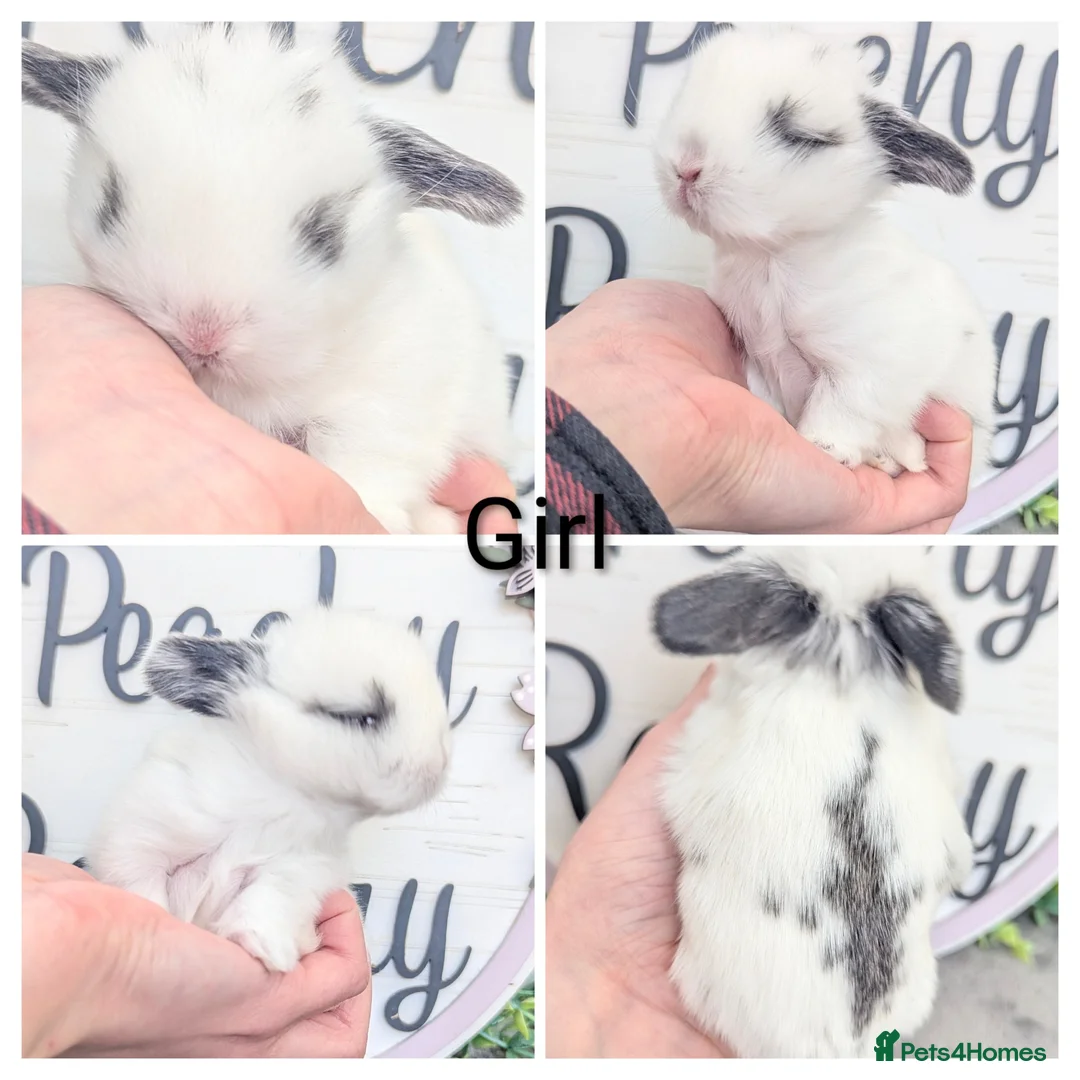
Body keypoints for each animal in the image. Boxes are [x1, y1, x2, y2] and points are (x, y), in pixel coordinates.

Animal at [22, 23, 523, 534]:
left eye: (325, 234)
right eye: (110, 204)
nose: (203, 335)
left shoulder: (387, 405)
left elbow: (369, 463)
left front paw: (381, 515)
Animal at [87, 606, 452, 972]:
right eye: (361, 718)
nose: (438, 768)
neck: (279, 801)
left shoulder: (300, 869)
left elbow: (269, 897)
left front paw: (262, 945)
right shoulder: (141, 837)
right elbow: (142, 887)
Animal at [654, 26, 995, 480]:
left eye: (802, 137)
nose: (686, 167)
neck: (771, 260)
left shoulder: (871, 357)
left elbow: (849, 404)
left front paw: (826, 447)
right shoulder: (756, 356)